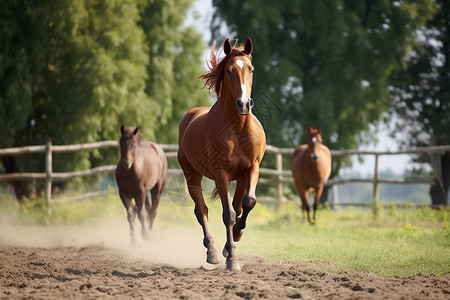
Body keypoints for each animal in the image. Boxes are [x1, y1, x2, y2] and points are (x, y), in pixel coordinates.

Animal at [178, 37, 266, 270]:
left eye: (251, 69)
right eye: (228, 70)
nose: (244, 103)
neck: (237, 129)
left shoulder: (251, 169)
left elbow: (247, 203)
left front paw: (236, 236)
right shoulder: (221, 175)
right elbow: (228, 215)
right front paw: (232, 259)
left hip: (240, 178)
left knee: (236, 205)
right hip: (192, 175)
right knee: (202, 210)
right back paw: (212, 252)